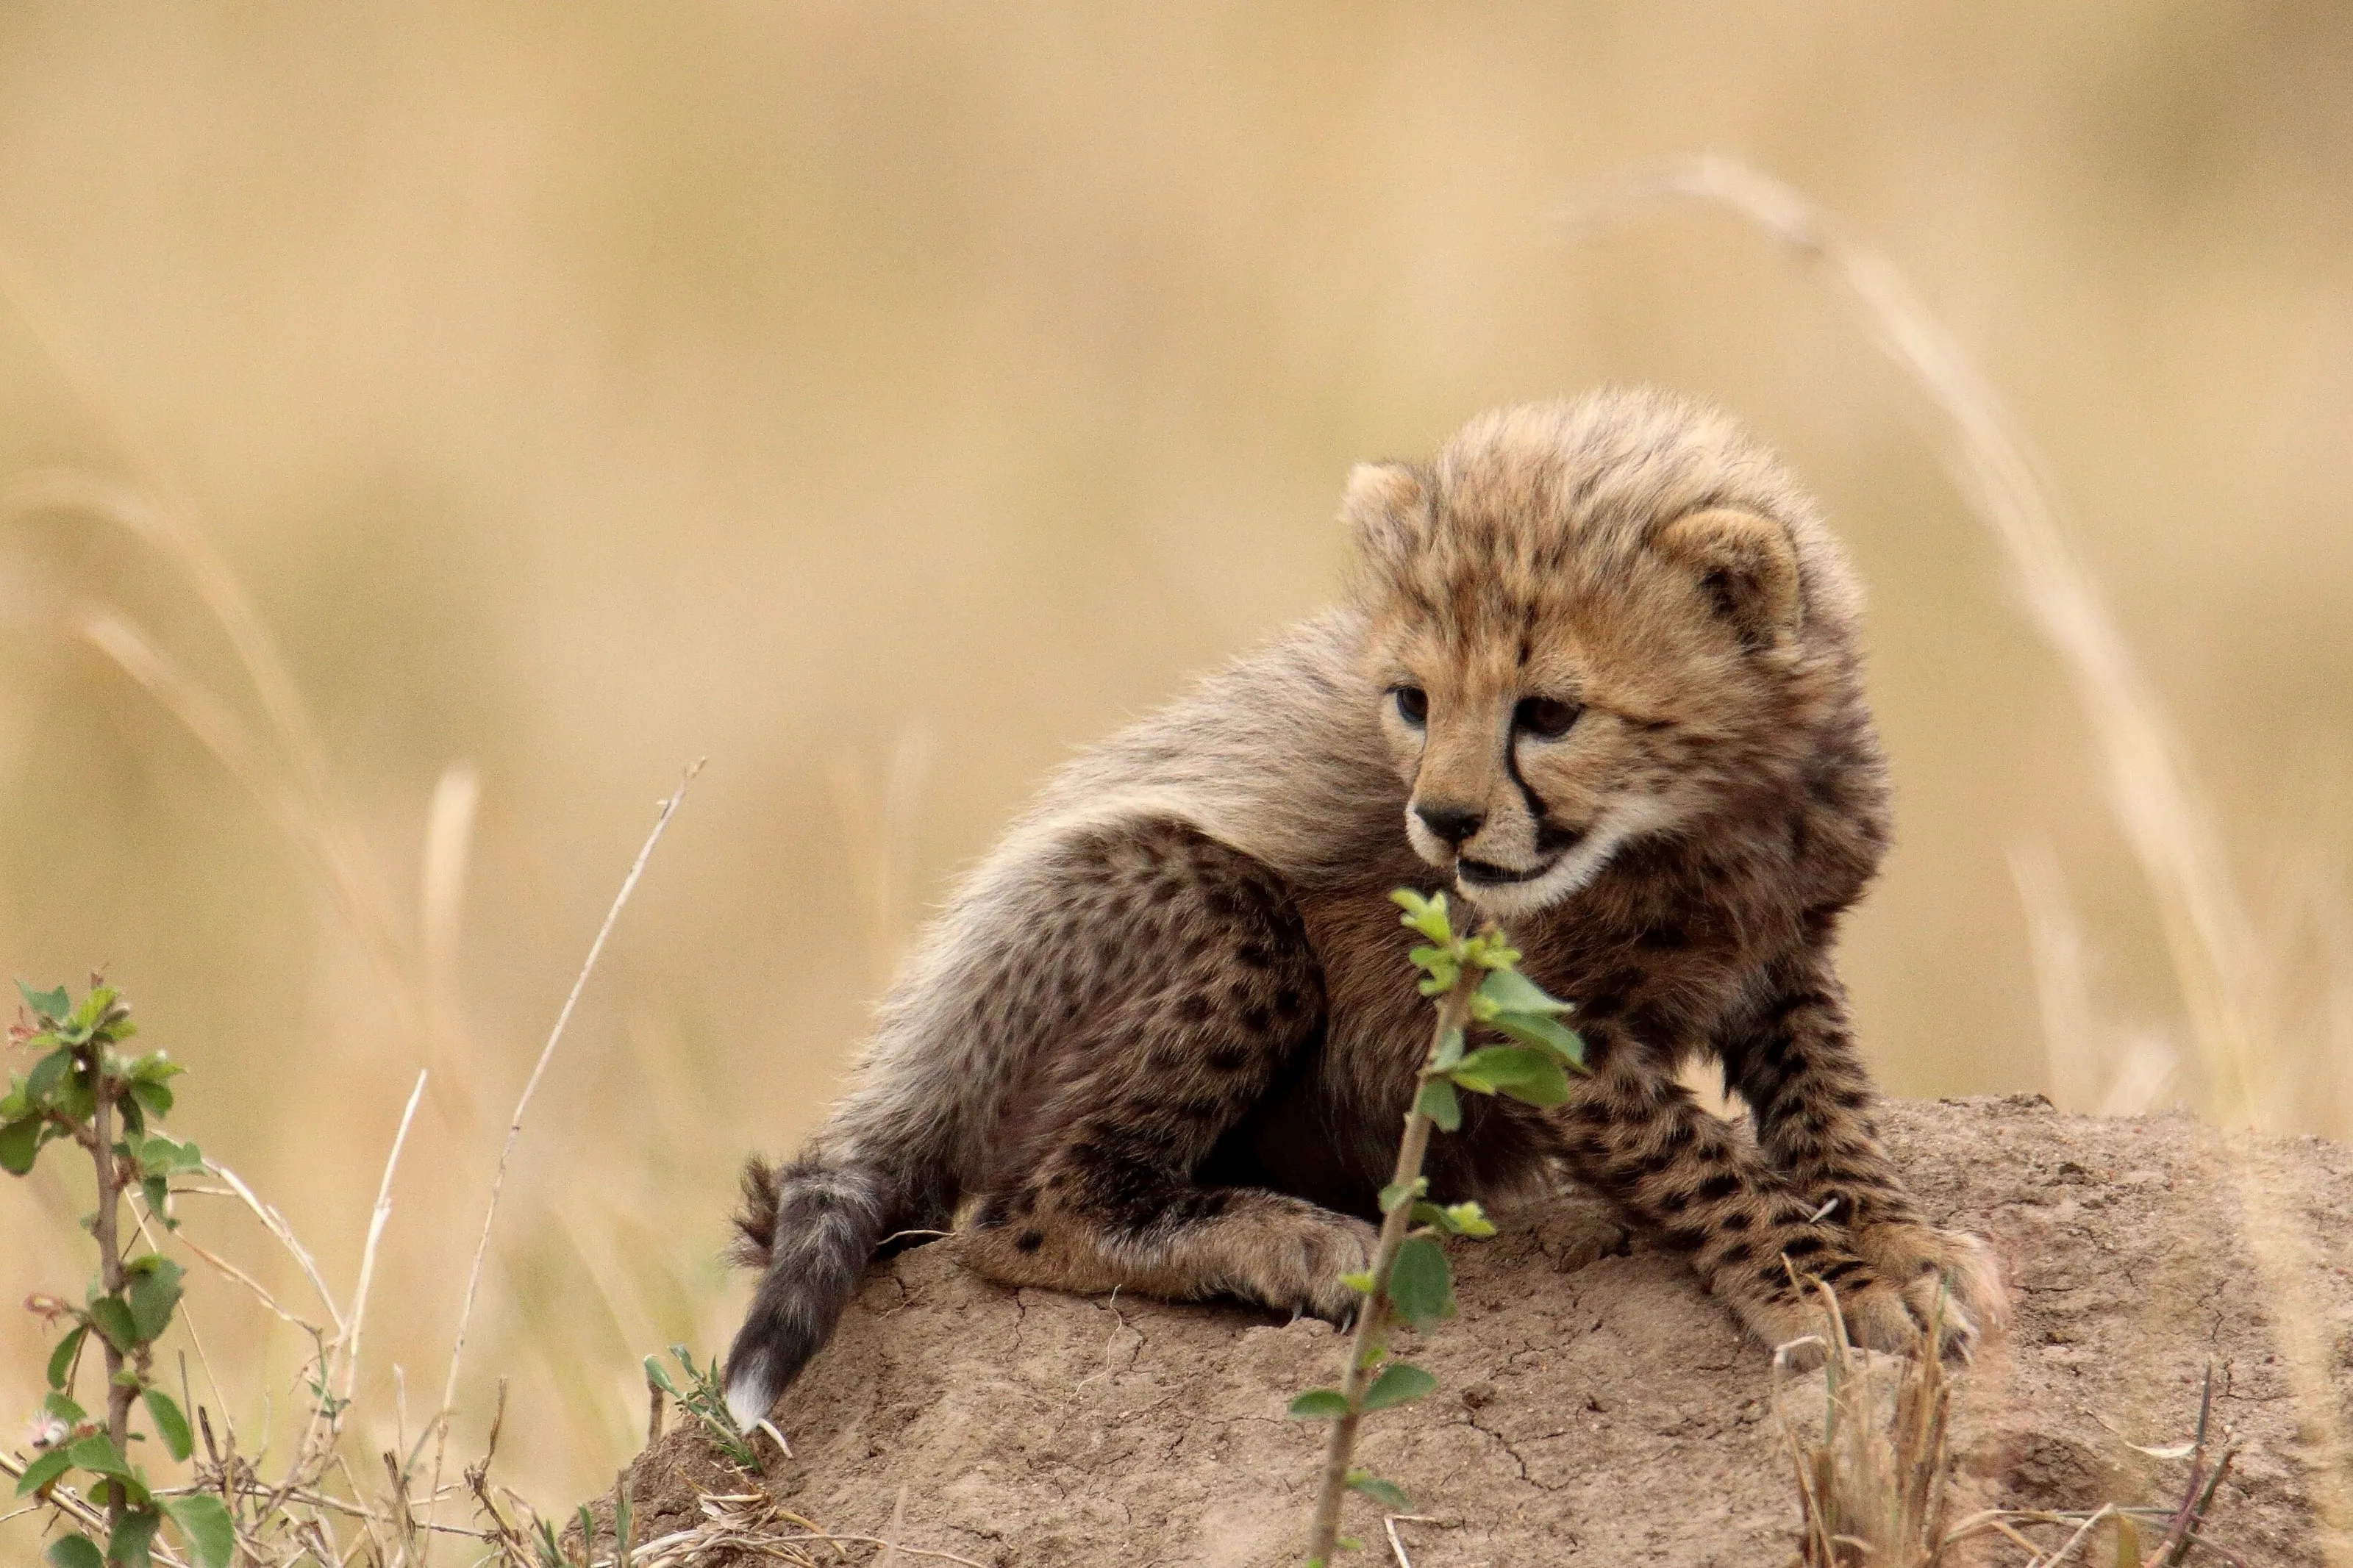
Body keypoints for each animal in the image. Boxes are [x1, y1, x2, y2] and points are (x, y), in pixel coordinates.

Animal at [721, 387, 2007, 1429]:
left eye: (1549, 711)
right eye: (1412, 700)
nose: (1442, 820)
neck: (1699, 820)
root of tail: (915, 1064)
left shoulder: (1783, 948)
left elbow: (1831, 1106)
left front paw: (1901, 1245)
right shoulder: (1528, 1023)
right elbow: (1702, 1161)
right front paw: (1826, 1283)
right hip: (1197, 919)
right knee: (1014, 1218)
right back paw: (1277, 1236)